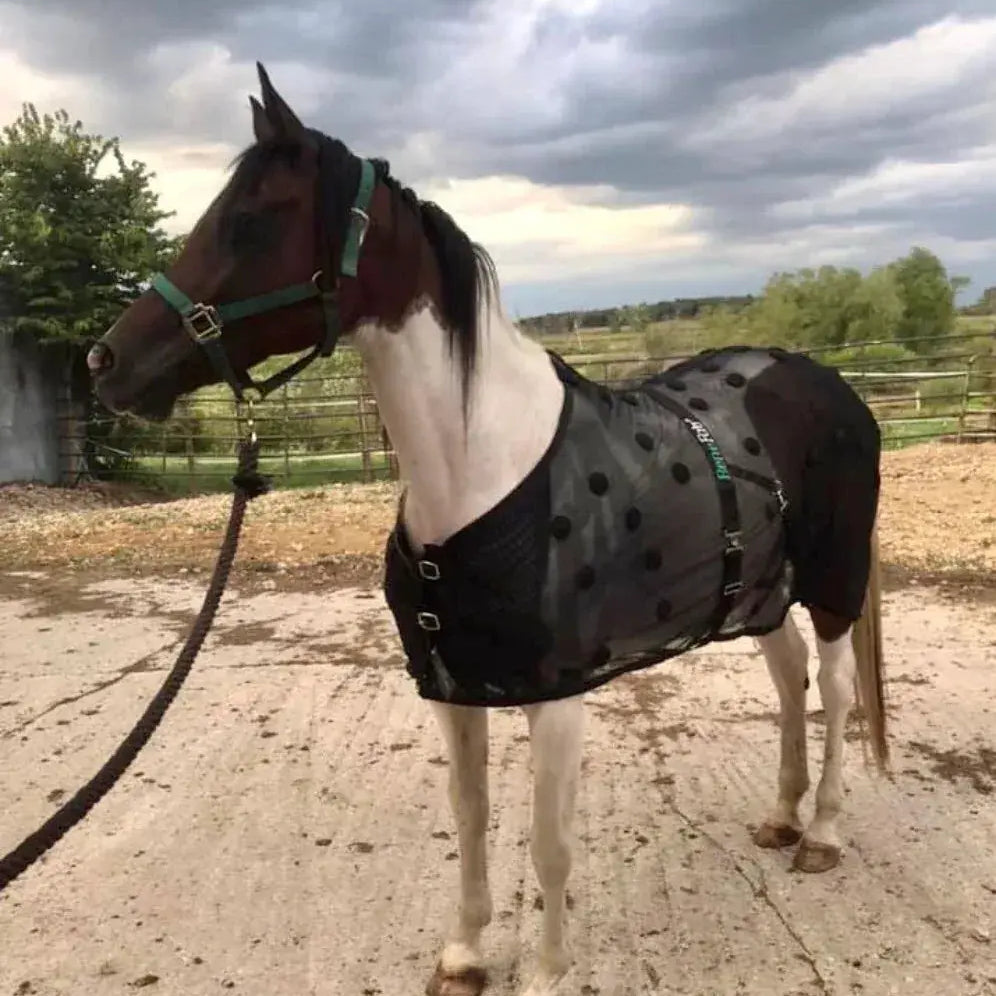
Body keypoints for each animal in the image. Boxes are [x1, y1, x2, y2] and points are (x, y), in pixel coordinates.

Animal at [88, 63, 889, 996]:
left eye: (251, 220)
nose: (107, 364)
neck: (483, 469)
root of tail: (824, 381)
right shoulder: (453, 688)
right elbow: (470, 818)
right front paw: (466, 952)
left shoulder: (560, 699)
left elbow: (549, 846)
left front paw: (545, 972)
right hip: (757, 592)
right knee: (790, 677)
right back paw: (782, 816)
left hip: (832, 583)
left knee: (834, 688)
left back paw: (823, 833)